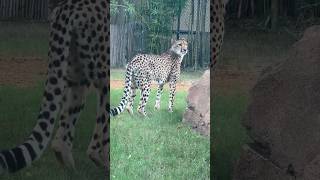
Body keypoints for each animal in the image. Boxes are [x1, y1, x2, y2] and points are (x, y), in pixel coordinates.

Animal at [0, 0, 109, 174]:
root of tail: (68, 6)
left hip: (76, 74)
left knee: (60, 139)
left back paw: (71, 168)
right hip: (102, 73)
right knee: (95, 141)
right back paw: (104, 162)